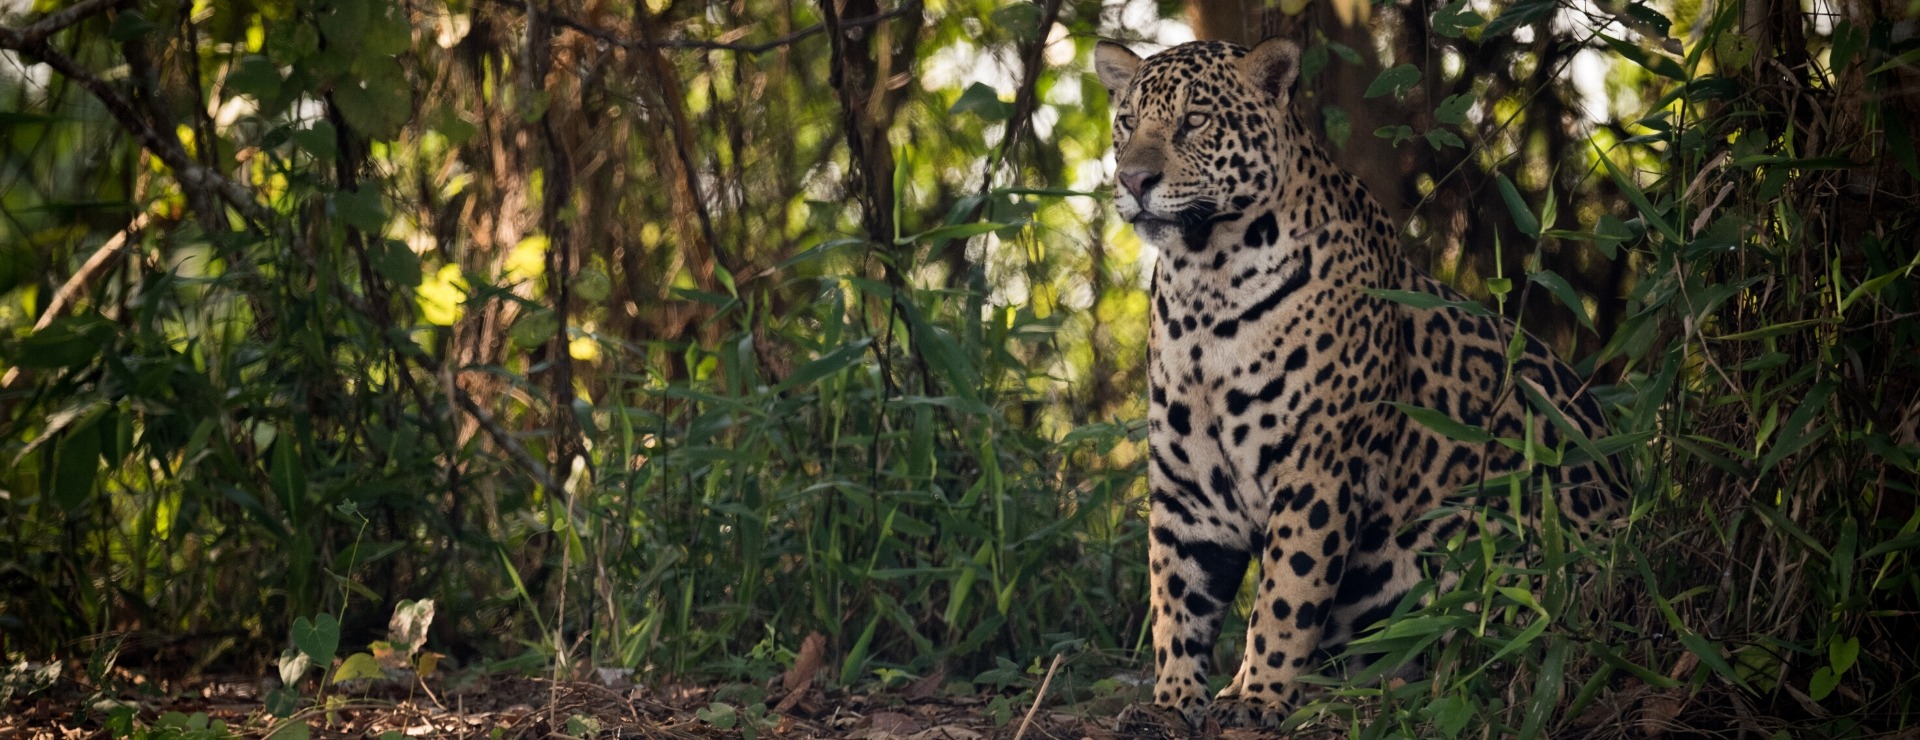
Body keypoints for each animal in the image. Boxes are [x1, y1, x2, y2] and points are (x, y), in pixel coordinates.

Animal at [1094, 38, 1625, 729]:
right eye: (1128, 122)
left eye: (1194, 121)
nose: (1134, 180)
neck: (1205, 284)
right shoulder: (1189, 488)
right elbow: (1177, 599)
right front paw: (1171, 703)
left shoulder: (1317, 465)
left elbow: (1286, 594)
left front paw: (1256, 696)